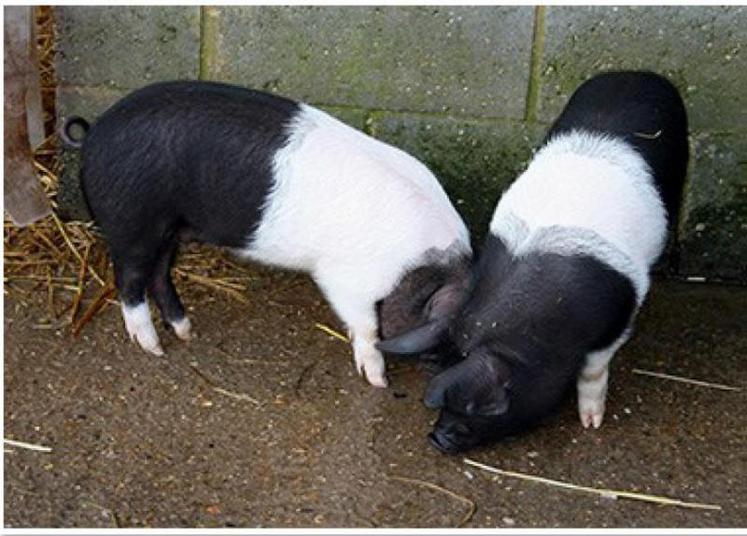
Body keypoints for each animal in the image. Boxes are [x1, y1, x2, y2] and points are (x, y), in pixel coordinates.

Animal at [60, 80, 471, 388]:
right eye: (440, 347)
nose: (437, 385)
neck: (421, 267)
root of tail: (93, 133)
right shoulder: (347, 281)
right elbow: (367, 328)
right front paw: (379, 382)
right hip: (132, 221)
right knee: (130, 280)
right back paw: (154, 348)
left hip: (169, 229)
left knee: (159, 275)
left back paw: (186, 331)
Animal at [377, 71, 689, 451]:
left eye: (478, 408)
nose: (437, 437)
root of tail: (640, 73)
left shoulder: (620, 314)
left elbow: (594, 369)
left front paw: (591, 423)